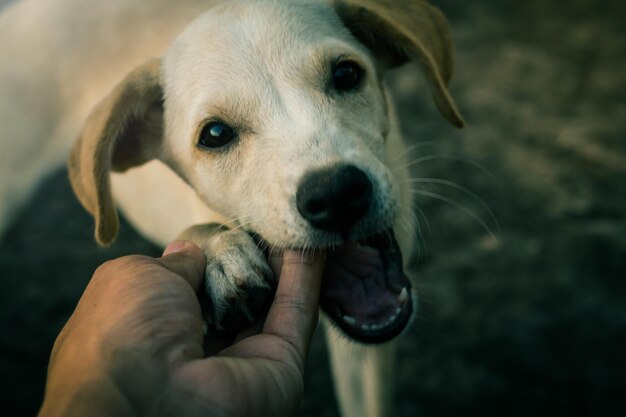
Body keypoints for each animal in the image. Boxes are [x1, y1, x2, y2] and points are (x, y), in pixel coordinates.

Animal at [0, 1, 460, 414]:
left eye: (347, 74)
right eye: (216, 134)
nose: (336, 195)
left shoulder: (367, 358)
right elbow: (196, 233)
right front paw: (223, 255)